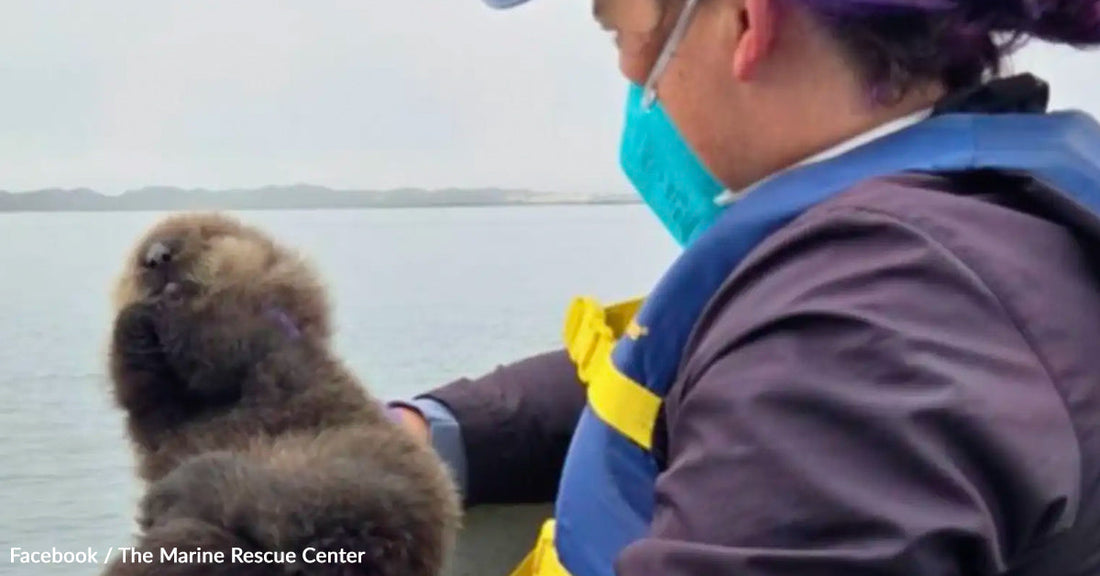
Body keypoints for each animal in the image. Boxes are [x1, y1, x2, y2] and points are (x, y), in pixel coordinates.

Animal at [103, 212, 461, 576]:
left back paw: (176, 492)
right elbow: (144, 399)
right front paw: (135, 318)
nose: (157, 255)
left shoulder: (265, 318)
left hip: (357, 474)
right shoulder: (165, 423)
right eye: (137, 255)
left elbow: (219, 344)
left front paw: (174, 300)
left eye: (207, 233)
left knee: (275, 504)